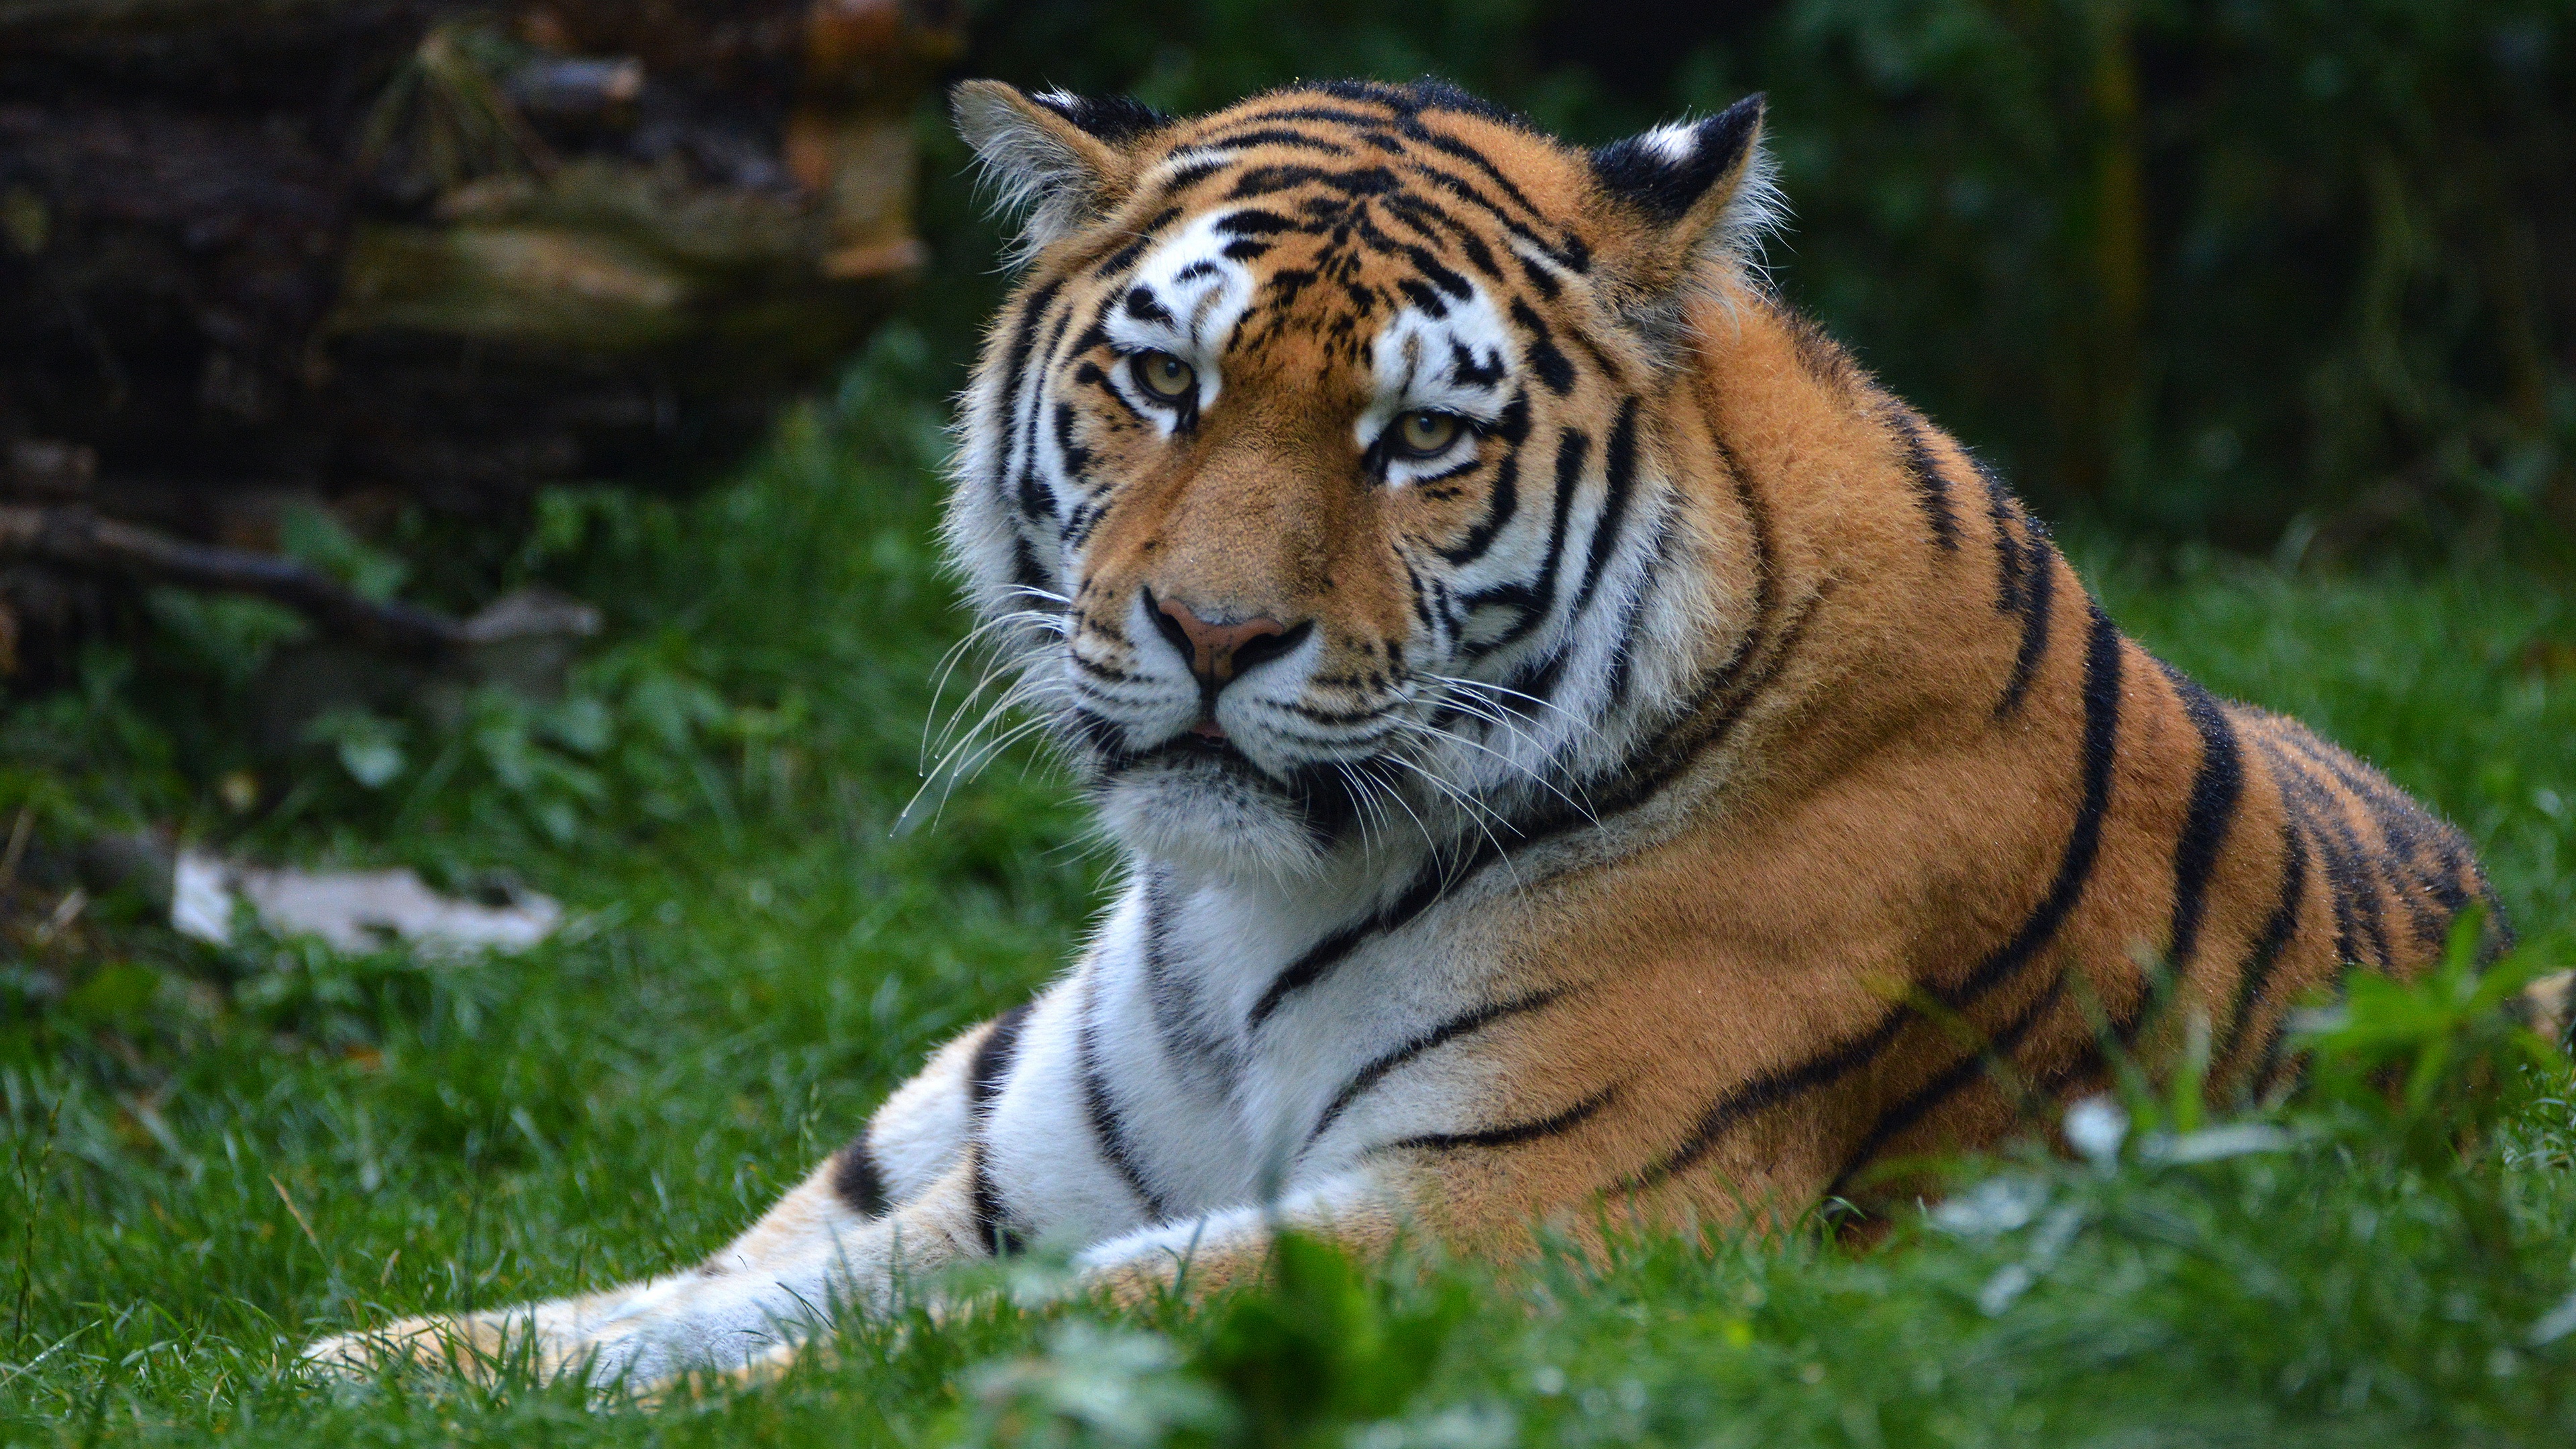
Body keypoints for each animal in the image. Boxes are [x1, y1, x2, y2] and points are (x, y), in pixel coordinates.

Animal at [296, 76, 2514, 1371]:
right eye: (1164, 382)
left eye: (1419, 439)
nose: (1211, 634)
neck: (1246, 910)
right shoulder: (1036, 1187)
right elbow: (731, 1306)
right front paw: (387, 1372)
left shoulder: (1515, 1213)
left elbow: (963, 1343)